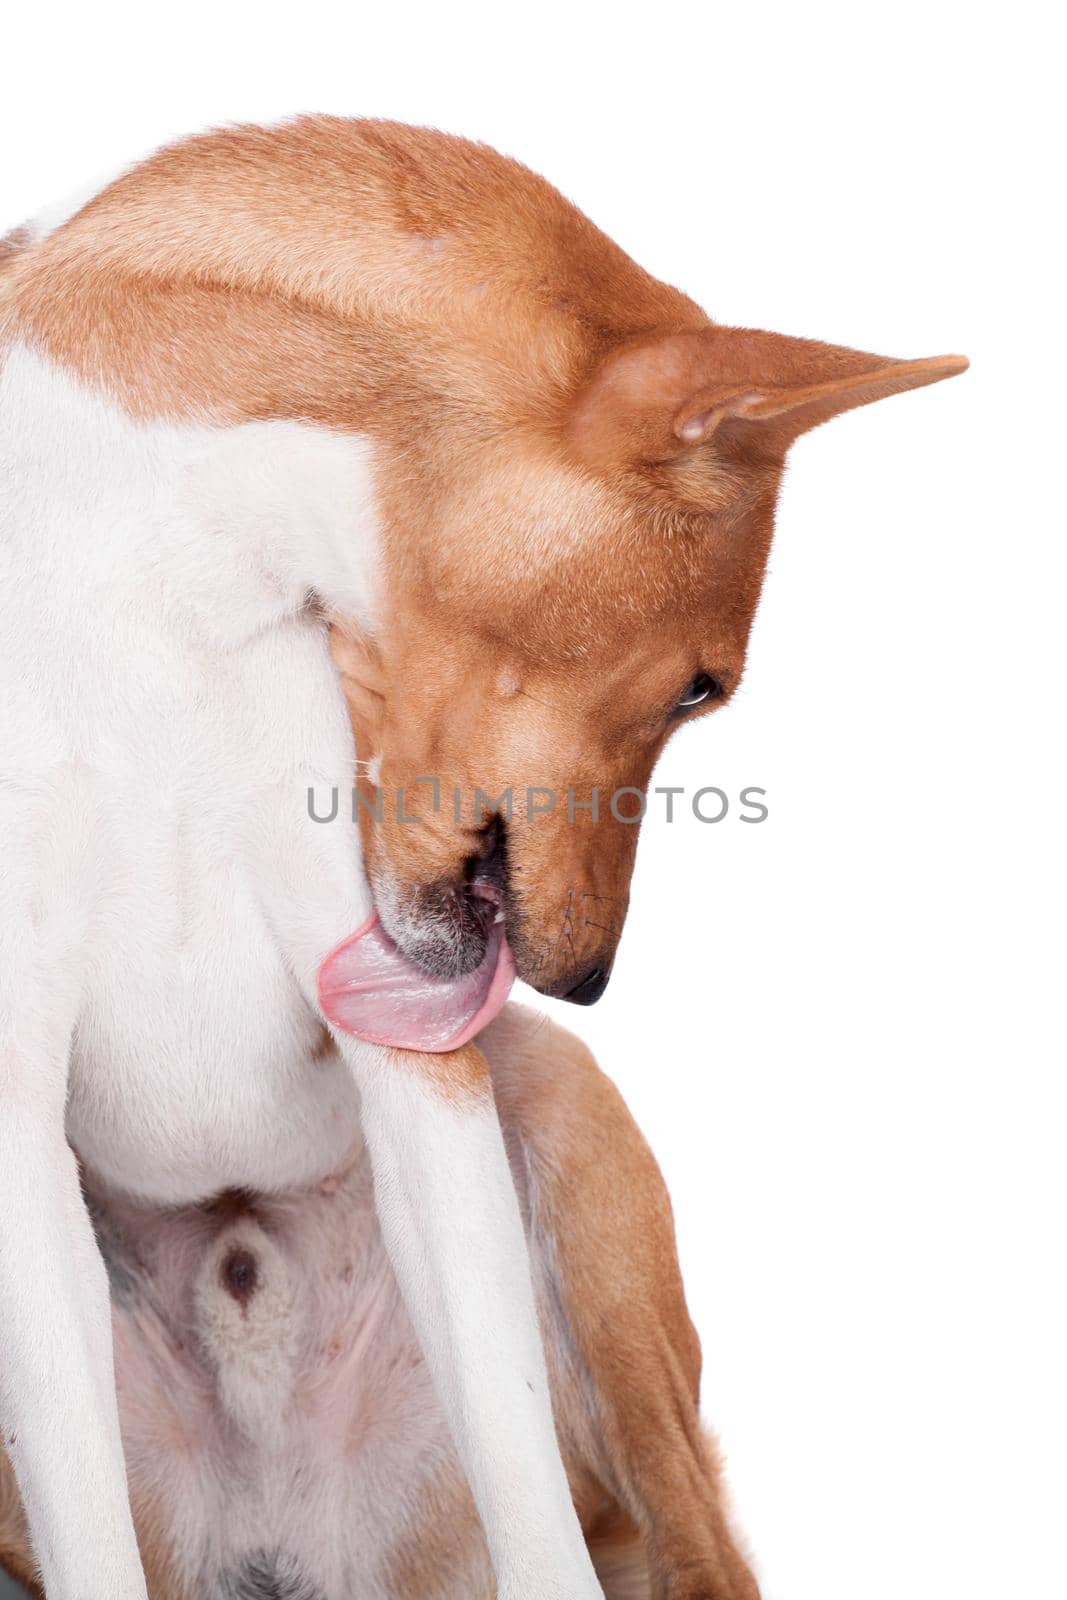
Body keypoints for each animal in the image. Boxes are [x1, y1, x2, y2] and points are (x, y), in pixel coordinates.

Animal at [0, 116, 966, 1600]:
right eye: (702, 687)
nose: (589, 982)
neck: (154, 598)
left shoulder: (417, 1074)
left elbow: (528, 1501)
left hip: (572, 1151)